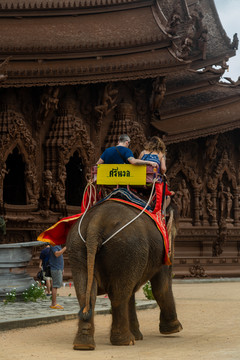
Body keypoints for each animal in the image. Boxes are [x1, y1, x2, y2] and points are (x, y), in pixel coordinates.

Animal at [65, 200, 182, 348]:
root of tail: (95, 224)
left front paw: (138, 336)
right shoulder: (163, 251)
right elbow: (161, 287)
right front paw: (174, 330)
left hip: (78, 248)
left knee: (86, 294)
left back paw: (84, 345)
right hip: (126, 249)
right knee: (119, 295)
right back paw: (125, 342)